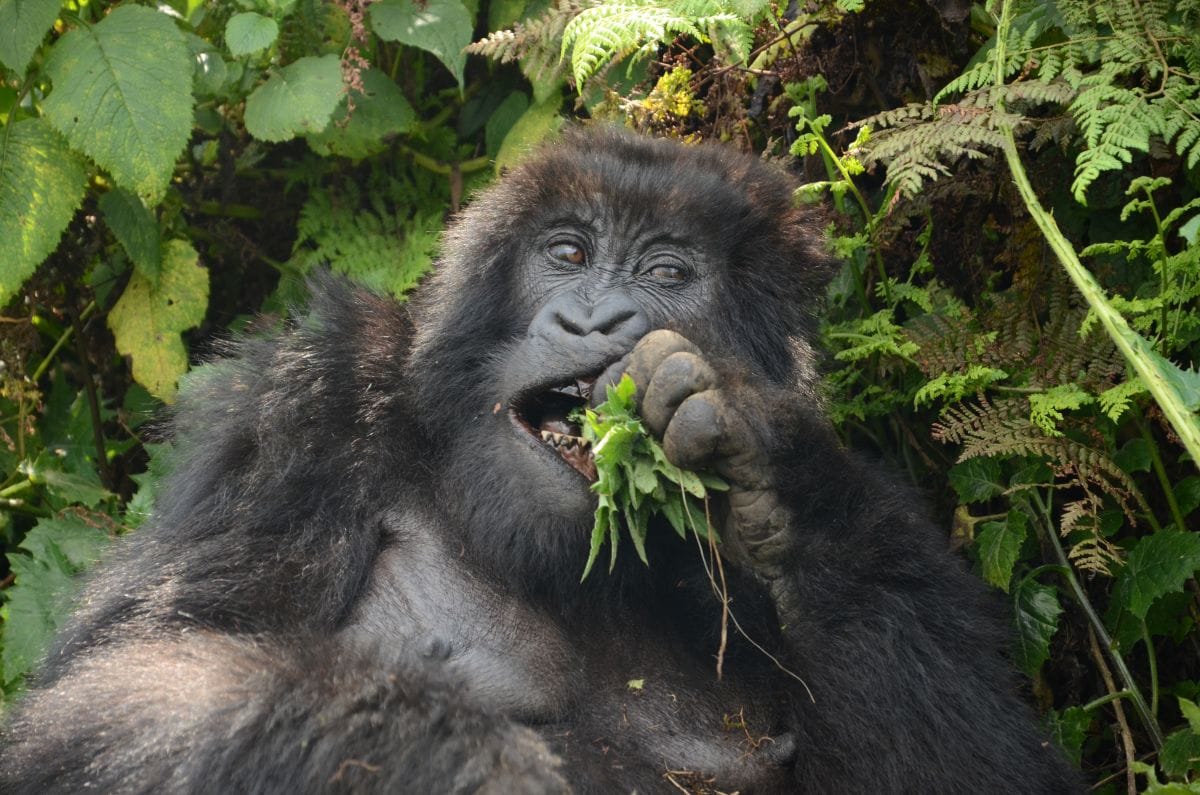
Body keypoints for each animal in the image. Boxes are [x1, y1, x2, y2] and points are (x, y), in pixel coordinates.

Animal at [0, 127, 1080, 792]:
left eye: (666, 270)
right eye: (566, 254)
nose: (595, 320)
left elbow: (971, 770)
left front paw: (773, 475)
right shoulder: (307, 410)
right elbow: (126, 681)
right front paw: (438, 754)